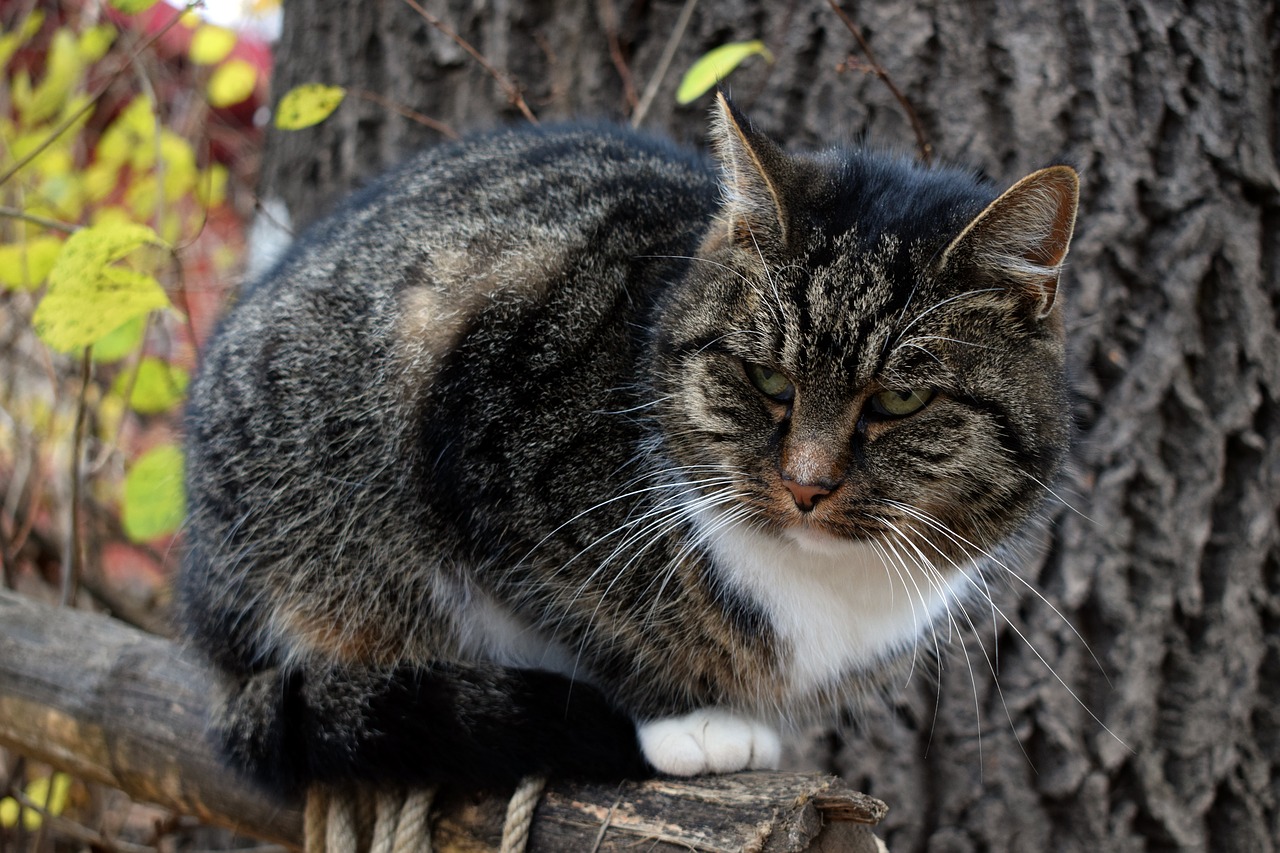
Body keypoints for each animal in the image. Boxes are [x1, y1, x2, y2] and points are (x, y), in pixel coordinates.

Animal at [177, 94, 1080, 799]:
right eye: (767, 379)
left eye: (900, 399)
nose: (806, 483)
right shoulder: (488, 441)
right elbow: (586, 617)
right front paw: (682, 721)